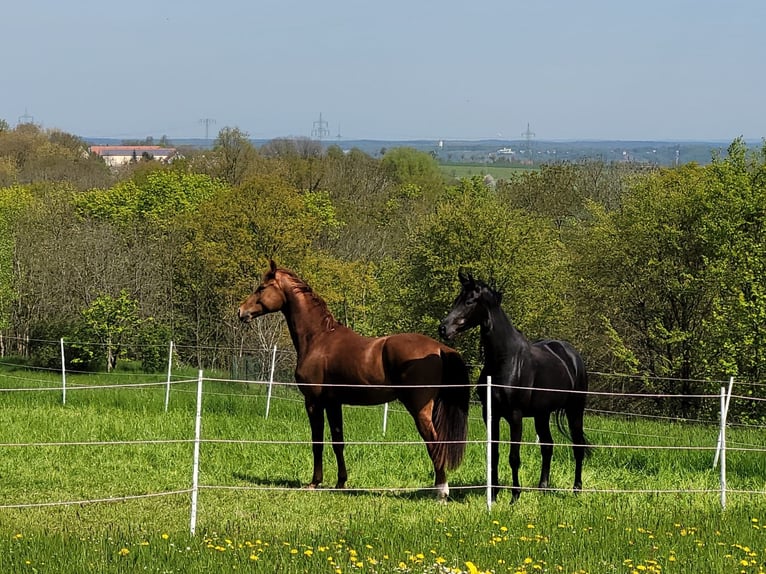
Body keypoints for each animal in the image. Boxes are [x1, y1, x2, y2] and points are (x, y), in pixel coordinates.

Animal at [237, 260, 472, 500]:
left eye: (261, 287)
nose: (241, 311)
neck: (319, 338)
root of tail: (440, 347)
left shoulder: (313, 402)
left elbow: (317, 442)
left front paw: (314, 483)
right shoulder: (333, 403)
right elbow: (337, 441)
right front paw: (341, 482)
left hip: (419, 409)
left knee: (434, 442)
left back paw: (441, 491)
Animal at [440, 274, 592, 504]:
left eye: (469, 301)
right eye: (457, 299)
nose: (444, 329)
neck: (505, 360)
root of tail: (572, 356)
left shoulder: (515, 415)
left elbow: (514, 457)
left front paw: (514, 496)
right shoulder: (490, 415)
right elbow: (494, 454)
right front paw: (493, 496)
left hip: (575, 410)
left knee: (578, 447)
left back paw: (576, 489)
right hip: (542, 415)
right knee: (547, 446)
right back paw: (542, 488)